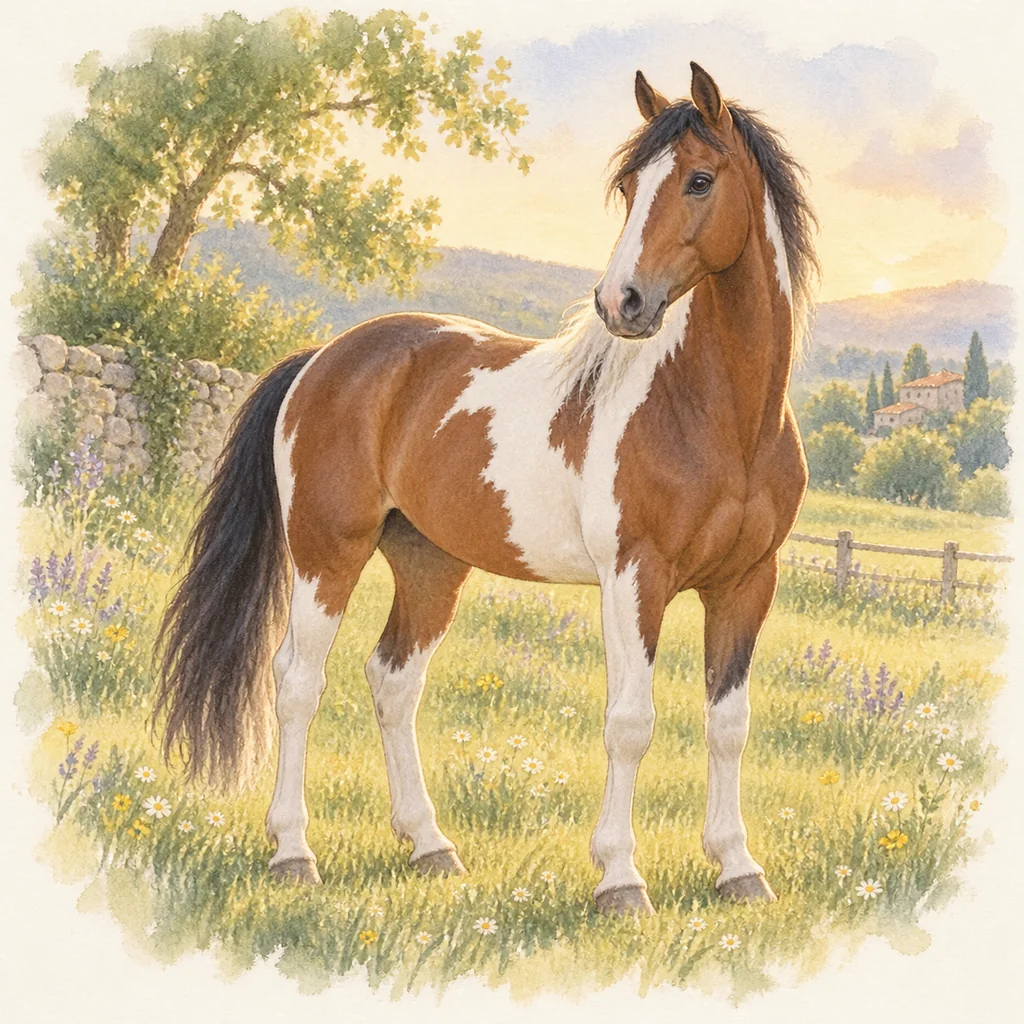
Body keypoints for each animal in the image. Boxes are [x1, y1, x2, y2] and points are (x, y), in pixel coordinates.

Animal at [155, 62, 817, 916]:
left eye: (700, 179)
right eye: (629, 185)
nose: (622, 302)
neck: (720, 415)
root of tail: (323, 358)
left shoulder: (746, 583)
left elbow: (729, 723)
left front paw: (738, 868)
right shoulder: (635, 578)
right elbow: (631, 722)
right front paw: (619, 879)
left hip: (429, 563)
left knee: (394, 682)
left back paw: (430, 845)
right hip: (326, 553)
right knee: (298, 681)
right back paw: (293, 853)